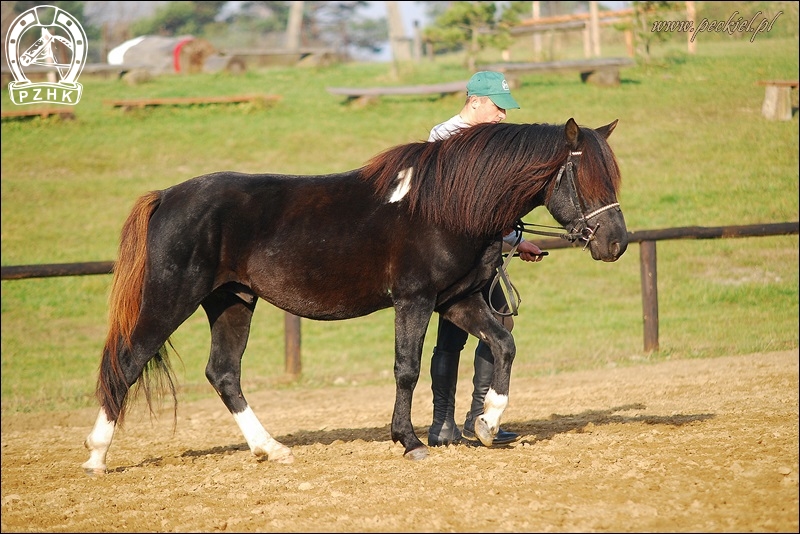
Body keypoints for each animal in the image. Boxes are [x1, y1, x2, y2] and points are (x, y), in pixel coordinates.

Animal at [84, 118, 628, 478]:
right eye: (585, 178)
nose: (616, 242)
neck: (444, 205)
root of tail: (167, 197)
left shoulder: (459, 301)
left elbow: (503, 345)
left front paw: (488, 424)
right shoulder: (415, 299)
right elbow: (407, 369)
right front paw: (409, 441)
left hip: (232, 300)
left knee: (223, 373)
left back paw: (270, 448)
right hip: (170, 299)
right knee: (127, 363)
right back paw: (96, 456)